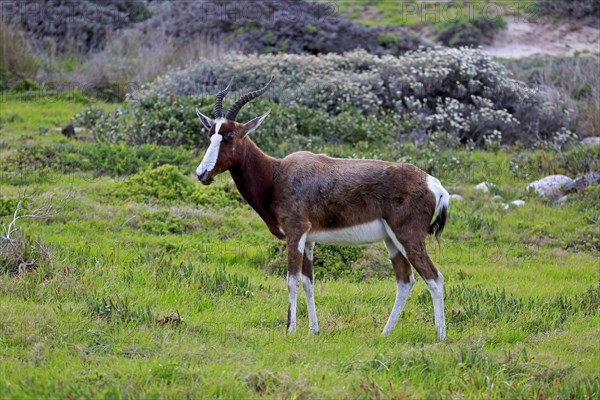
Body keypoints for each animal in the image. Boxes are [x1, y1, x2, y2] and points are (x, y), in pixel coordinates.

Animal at [197, 78, 450, 340]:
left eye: (229, 135)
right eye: (210, 134)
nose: (202, 174)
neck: (277, 174)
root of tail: (433, 183)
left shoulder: (295, 233)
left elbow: (292, 280)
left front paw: (290, 330)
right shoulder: (309, 239)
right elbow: (309, 282)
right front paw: (313, 330)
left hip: (408, 238)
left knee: (434, 278)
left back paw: (440, 337)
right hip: (391, 240)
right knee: (405, 281)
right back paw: (385, 333)